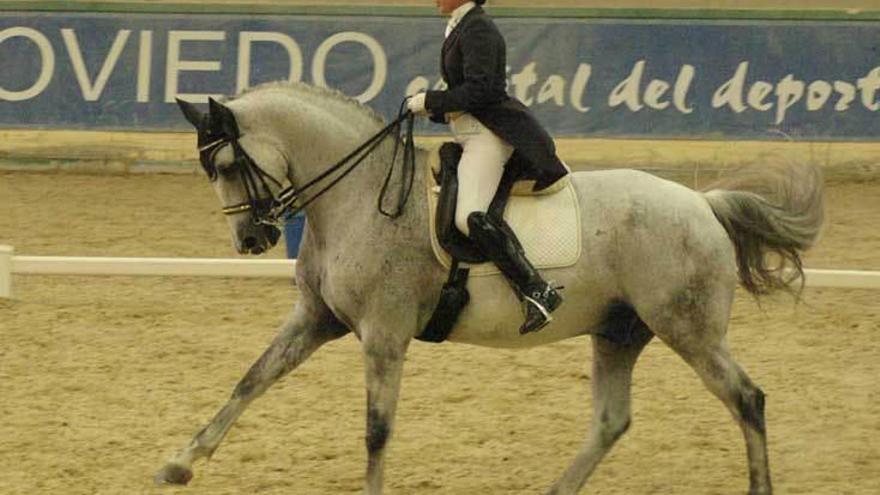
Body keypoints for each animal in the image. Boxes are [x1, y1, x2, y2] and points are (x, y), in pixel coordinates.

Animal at [156, 80, 824, 492]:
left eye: (225, 165)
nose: (252, 240)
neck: (357, 198)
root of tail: (703, 203)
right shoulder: (318, 318)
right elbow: (251, 380)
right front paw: (181, 464)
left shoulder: (384, 334)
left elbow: (376, 428)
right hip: (619, 332)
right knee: (612, 420)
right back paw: (555, 490)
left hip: (687, 328)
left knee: (746, 398)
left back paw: (758, 484)